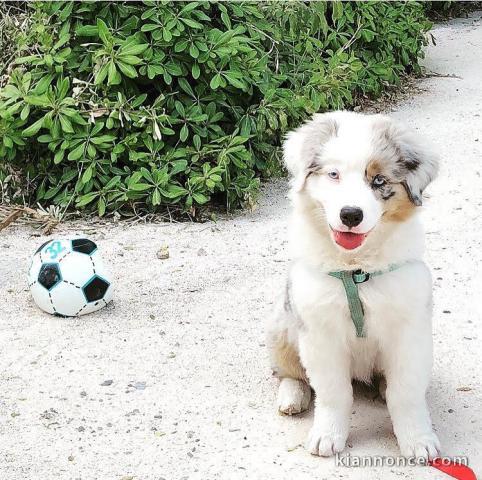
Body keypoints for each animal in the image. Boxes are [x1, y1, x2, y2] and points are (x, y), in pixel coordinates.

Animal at [268, 110, 440, 460]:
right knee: (289, 371)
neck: (357, 273)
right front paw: (327, 436)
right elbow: (333, 392)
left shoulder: (410, 329)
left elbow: (406, 392)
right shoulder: (319, 332)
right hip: (283, 324)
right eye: (333, 174)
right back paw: (292, 397)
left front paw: (418, 439)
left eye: (379, 181)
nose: (350, 214)